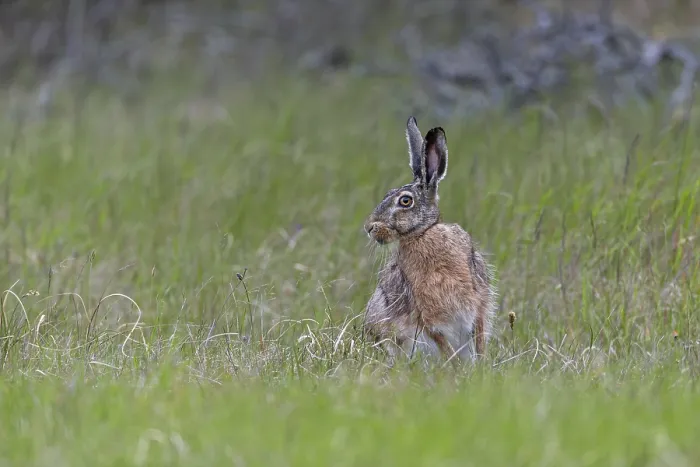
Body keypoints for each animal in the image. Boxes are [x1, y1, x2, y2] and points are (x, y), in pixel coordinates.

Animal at [363, 116, 497, 363]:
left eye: (405, 201)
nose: (369, 228)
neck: (424, 233)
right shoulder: (423, 313)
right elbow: (440, 339)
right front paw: (456, 365)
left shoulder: (478, 300)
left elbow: (479, 334)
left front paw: (480, 365)